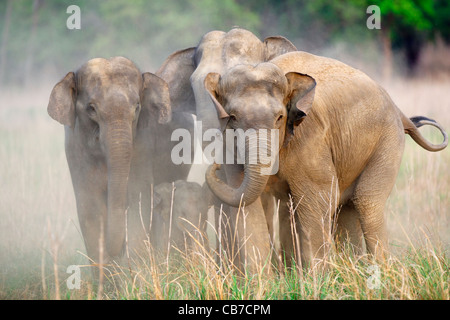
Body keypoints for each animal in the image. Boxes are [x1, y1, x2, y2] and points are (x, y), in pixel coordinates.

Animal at [47, 57, 193, 262]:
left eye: (137, 107)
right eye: (91, 108)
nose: (115, 252)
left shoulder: (142, 147)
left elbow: (138, 201)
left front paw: (135, 268)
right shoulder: (75, 149)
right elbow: (90, 208)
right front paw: (106, 268)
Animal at [206, 51, 448, 268]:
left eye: (280, 117)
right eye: (232, 118)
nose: (214, 167)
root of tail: (400, 112)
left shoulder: (309, 137)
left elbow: (318, 199)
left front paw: (316, 282)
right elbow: (246, 205)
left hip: (388, 141)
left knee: (367, 201)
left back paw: (381, 272)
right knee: (347, 208)